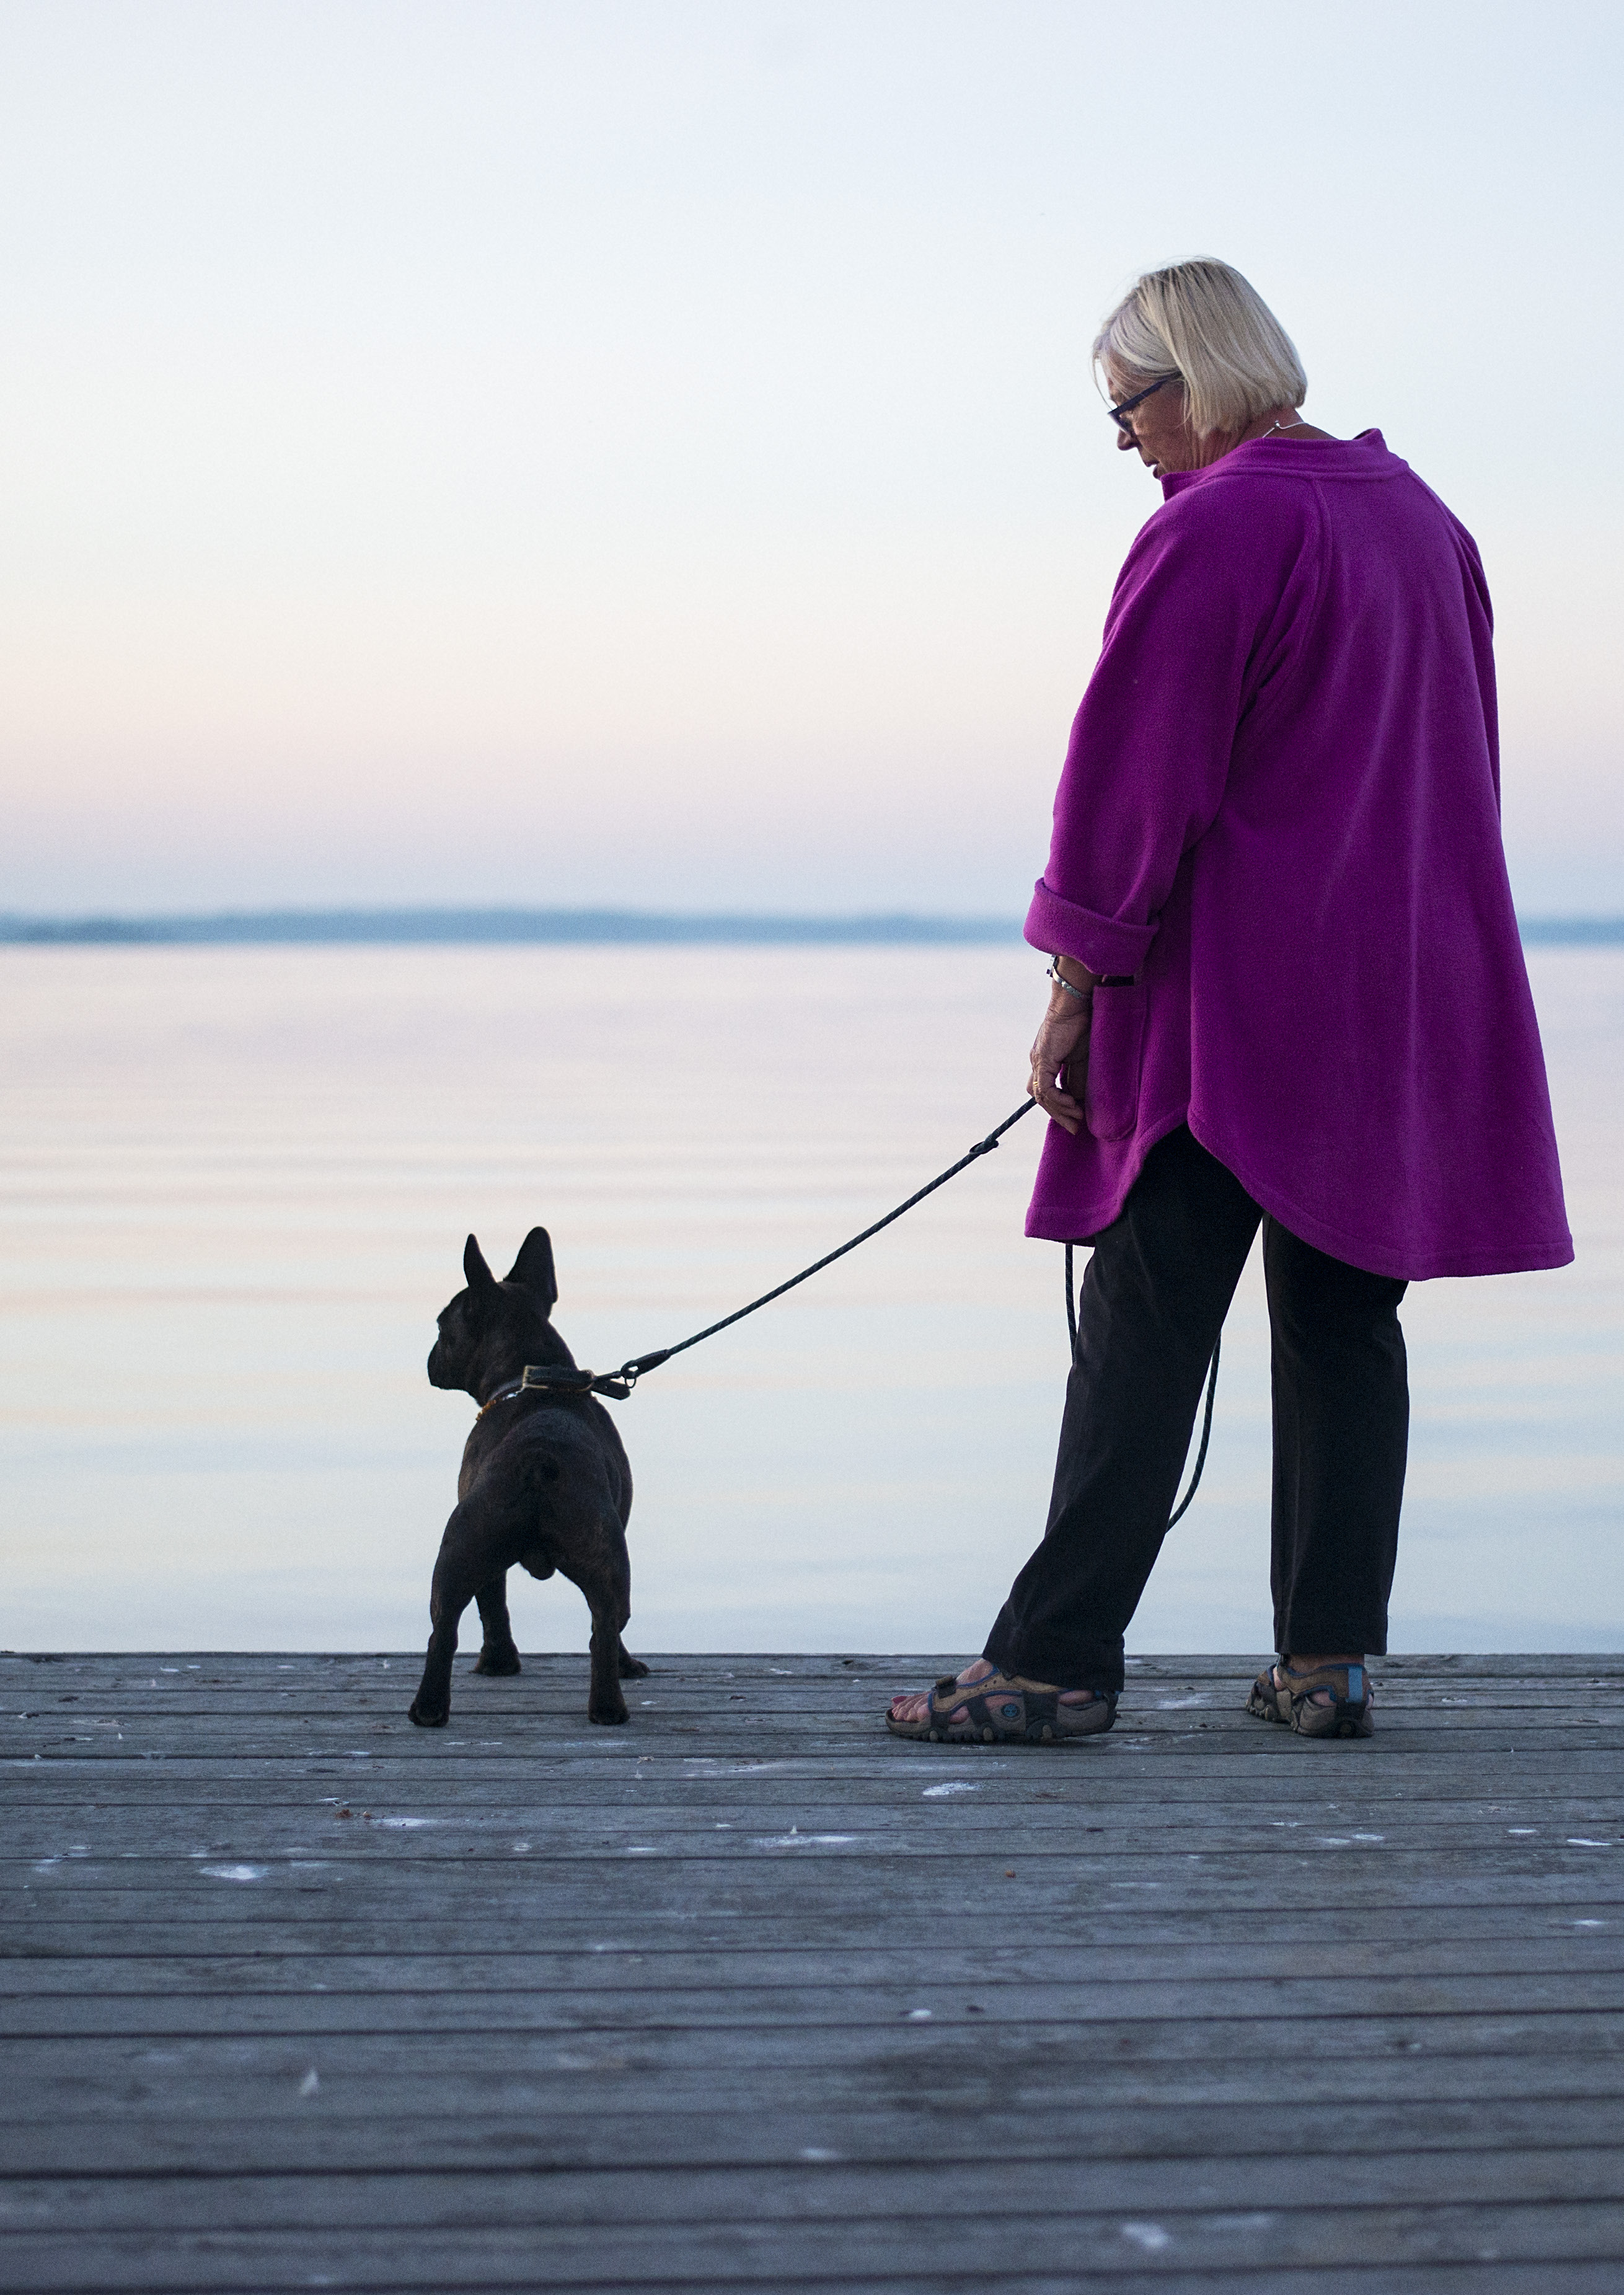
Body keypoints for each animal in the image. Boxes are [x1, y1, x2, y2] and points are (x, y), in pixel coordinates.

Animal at [406, 1230, 647, 1725]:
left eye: (441, 1326)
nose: (430, 1356)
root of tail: (539, 1458)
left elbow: (492, 1606)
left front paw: (498, 1665)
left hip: (462, 1549)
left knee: (445, 1629)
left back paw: (428, 1710)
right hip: (607, 1560)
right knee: (606, 1628)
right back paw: (609, 1707)